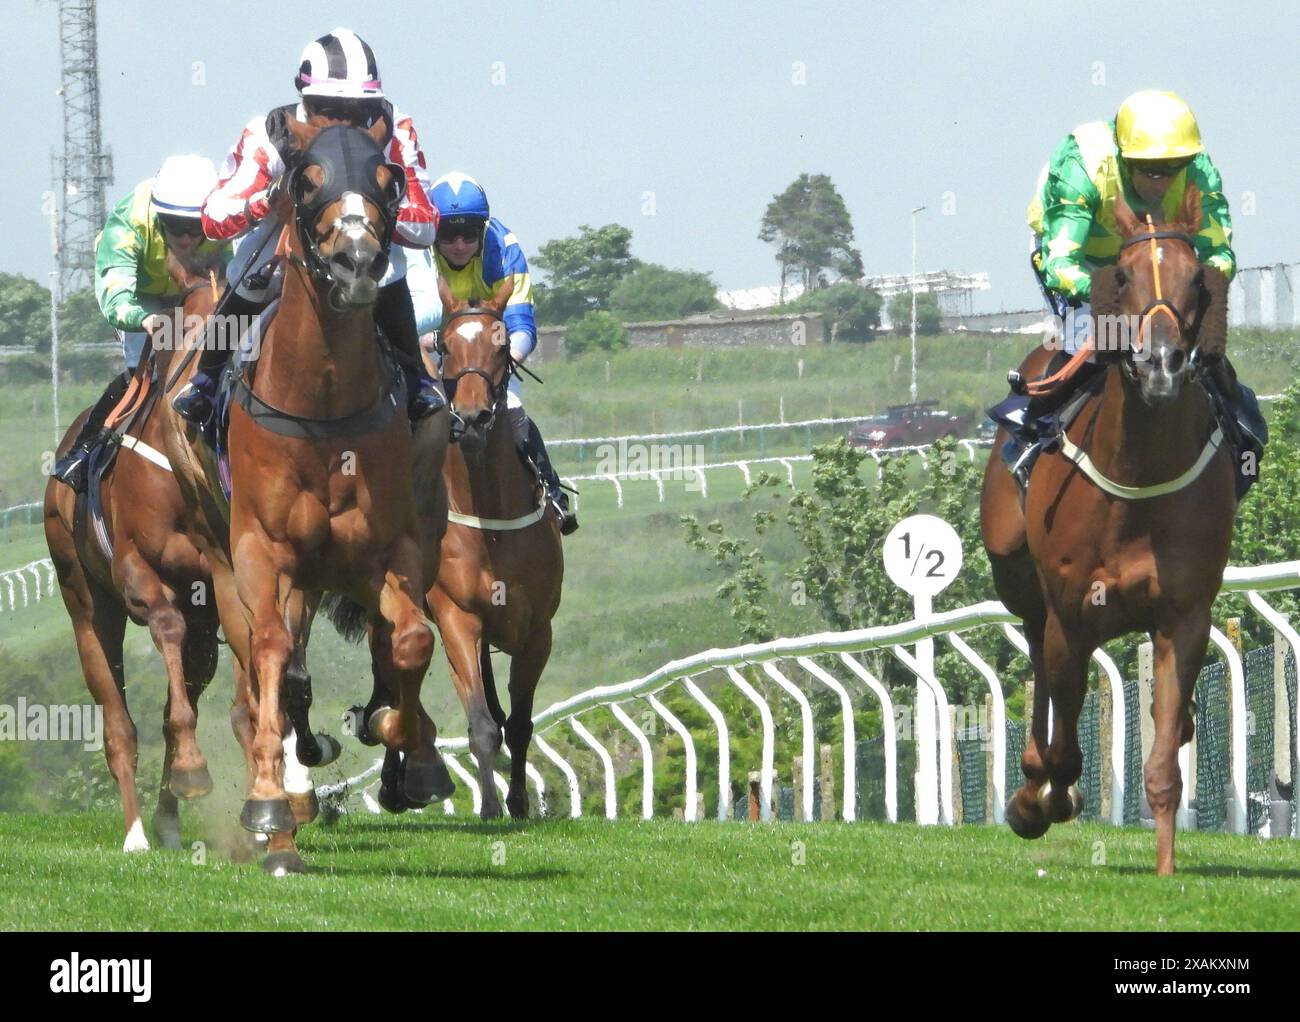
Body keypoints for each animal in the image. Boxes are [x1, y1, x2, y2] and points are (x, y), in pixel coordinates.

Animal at [44, 250, 224, 847]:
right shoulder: (136, 571)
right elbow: (164, 624)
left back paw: (166, 820)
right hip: (86, 604)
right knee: (118, 722)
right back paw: (136, 833)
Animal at [170, 117, 452, 868]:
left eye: (387, 180)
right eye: (305, 180)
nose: (357, 262)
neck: (322, 406)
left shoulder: (391, 550)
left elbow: (410, 641)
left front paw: (404, 746)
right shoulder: (260, 552)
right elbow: (272, 654)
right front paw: (270, 804)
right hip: (228, 561)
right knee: (266, 673)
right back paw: (281, 820)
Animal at [977, 187, 1232, 873]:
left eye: (1197, 278)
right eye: (1121, 275)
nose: (1162, 365)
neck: (1137, 476)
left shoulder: (1183, 617)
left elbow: (1165, 764)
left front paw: (1167, 869)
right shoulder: (1071, 614)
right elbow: (1065, 750)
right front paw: (1036, 802)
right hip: (1019, 578)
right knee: (1036, 652)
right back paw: (1032, 785)